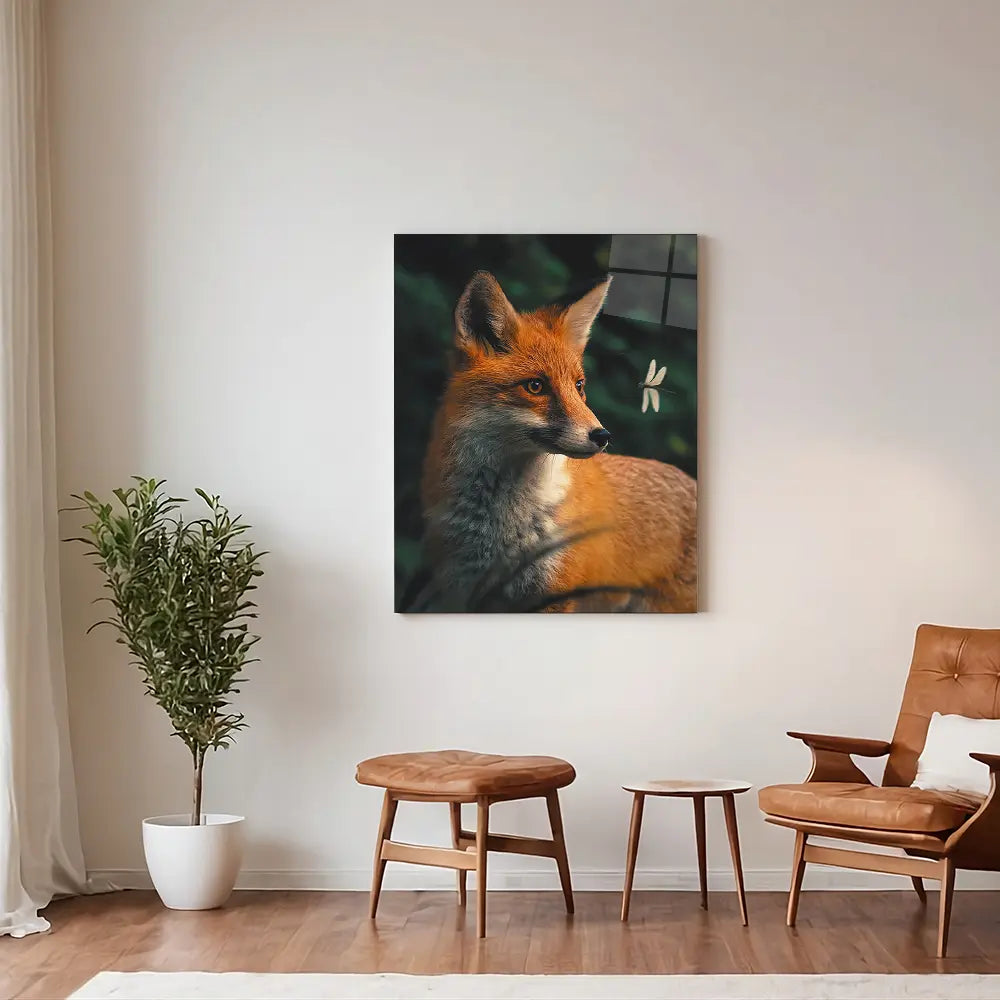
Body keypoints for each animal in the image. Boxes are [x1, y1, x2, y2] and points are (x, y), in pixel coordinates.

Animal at [420, 271, 697, 613]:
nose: (603, 436)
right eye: (535, 386)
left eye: (579, 386)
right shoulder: (462, 591)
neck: (500, 527)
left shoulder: (553, 595)